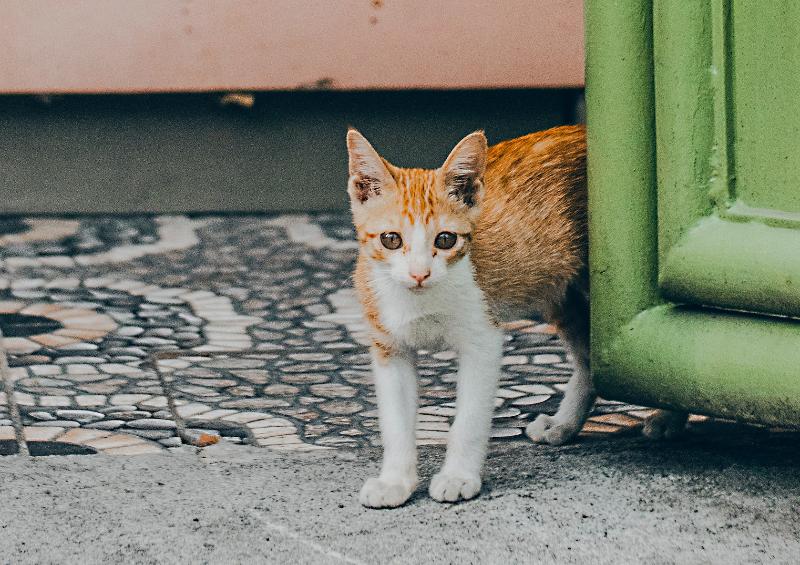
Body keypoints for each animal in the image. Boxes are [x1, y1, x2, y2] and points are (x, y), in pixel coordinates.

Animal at [346, 124, 592, 506]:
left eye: (445, 240)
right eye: (391, 239)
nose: (419, 274)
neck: (421, 301)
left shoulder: (483, 339)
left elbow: (470, 418)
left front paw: (458, 476)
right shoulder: (389, 347)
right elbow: (396, 421)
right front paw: (396, 480)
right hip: (559, 290)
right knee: (590, 358)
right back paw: (564, 424)